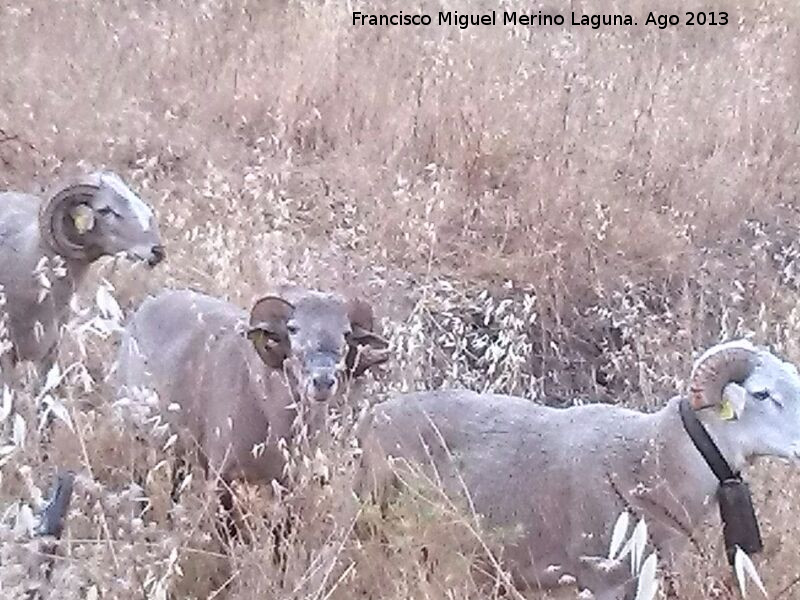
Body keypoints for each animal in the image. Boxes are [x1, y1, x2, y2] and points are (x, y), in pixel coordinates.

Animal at [116, 288, 390, 494]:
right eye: (292, 328)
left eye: (346, 333)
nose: (322, 381)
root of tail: (147, 304)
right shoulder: (222, 476)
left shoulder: (288, 482)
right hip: (139, 434)